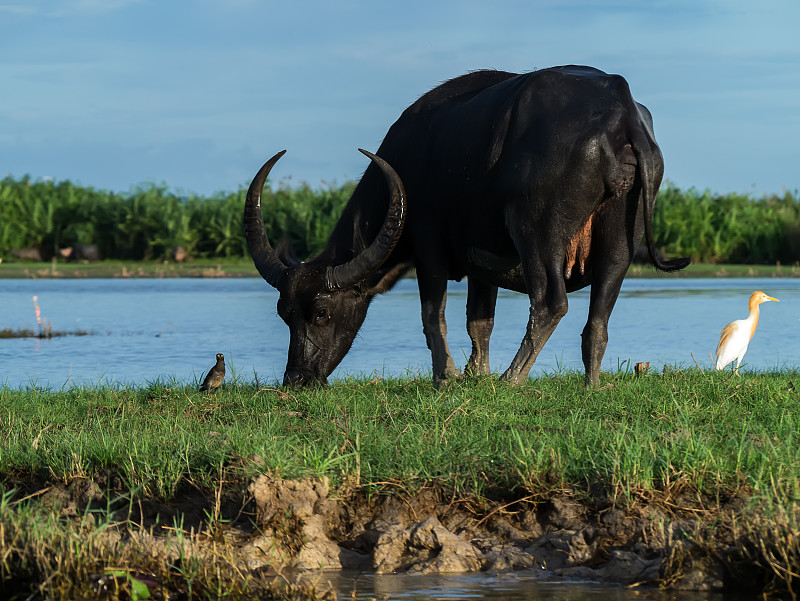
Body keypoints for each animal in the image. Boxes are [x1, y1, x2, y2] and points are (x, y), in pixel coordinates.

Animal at [244, 64, 688, 384]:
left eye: (321, 313)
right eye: (284, 313)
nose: (296, 379)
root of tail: (621, 110)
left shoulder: (428, 247)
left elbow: (432, 314)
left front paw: (447, 376)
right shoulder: (481, 263)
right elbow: (479, 320)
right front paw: (477, 374)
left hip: (536, 230)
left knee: (550, 303)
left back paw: (512, 378)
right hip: (619, 242)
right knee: (598, 318)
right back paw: (591, 384)